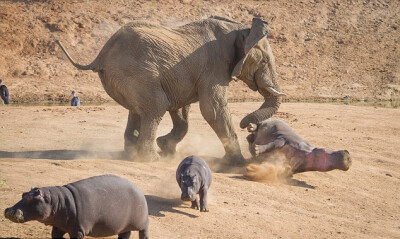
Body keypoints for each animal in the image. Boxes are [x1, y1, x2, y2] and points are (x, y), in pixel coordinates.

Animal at [4, 174, 148, 239]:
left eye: (30, 197)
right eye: (23, 194)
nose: (8, 210)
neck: (56, 201)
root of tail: (139, 190)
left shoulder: (77, 231)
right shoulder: (58, 227)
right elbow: (55, 235)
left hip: (142, 222)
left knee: (144, 231)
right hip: (123, 226)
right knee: (125, 234)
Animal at [55, 15, 284, 163]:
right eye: (264, 61)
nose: (249, 126)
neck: (239, 29)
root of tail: (101, 54)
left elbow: (181, 109)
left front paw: (167, 148)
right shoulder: (214, 67)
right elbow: (212, 109)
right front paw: (238, 163)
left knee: (138, 110)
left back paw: (133, 153)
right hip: (136, 73)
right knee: (156, 106)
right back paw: (150, 159)